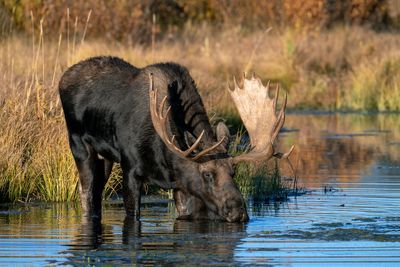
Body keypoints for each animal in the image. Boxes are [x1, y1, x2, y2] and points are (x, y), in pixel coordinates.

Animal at [57, 57, 292, 224]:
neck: (163, 158)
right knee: (86, 192)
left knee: (97, 191)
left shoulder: (182, 184)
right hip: (79, 144)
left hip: (104, 156)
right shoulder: (130, 169)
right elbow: (132, 214)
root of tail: (63, 78)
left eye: (233, 173)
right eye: (207, 174)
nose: (238, 212)